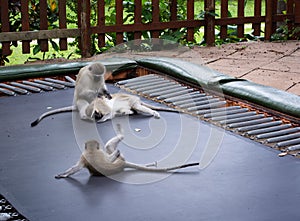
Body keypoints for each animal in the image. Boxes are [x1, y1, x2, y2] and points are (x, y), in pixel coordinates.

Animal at [54, 124, 199, 178]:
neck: (91, 151)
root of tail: (122, 164)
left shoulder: (86, 155)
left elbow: (77, 167)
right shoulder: (86, 156)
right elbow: (77, 167)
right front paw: (63, 174)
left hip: (119, 158)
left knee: (111, 149)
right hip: (120, 158)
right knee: (111, 148)